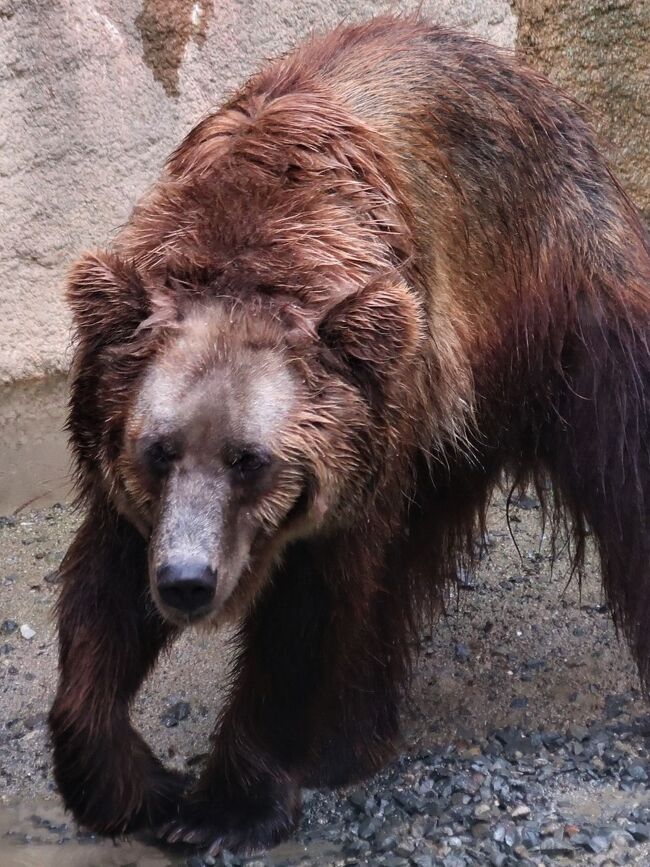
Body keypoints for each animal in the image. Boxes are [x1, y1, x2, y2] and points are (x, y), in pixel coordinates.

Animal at [49, 11, 648, 856]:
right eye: (158, 449)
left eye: (250, 459)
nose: (188, 581)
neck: (250, 238)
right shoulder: (130, 466)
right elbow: (103, 596)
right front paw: (129, 782)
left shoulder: (344, 466)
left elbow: (310, 616)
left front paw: (221, 808)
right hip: (439, 426)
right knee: (403, 565)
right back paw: (350, 737)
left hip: (564, 293)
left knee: (627, 458)